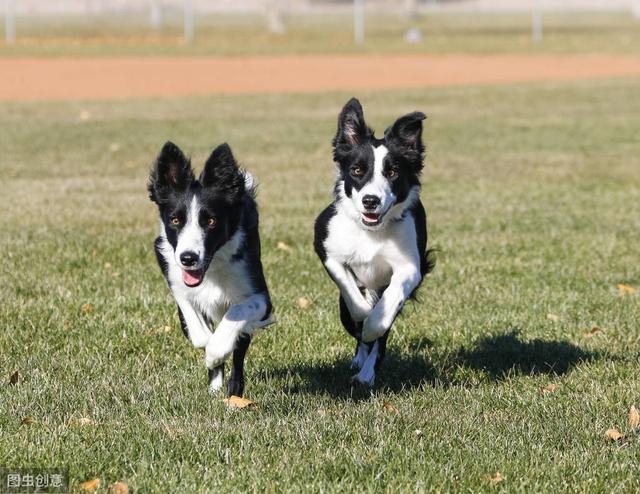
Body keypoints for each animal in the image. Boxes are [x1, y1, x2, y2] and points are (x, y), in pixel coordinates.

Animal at [149, 141, 272, 396]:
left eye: (211, 221)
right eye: (175, 220)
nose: (188, 258)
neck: (212, 268)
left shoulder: (261, 297)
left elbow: (237, 313)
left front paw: (216, 351)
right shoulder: (175, 278)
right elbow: (195, 325)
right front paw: (208, 345)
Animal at [312, 98, 432, 388]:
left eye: (393, 172)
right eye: (357, 170)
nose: (370, 201)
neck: (372, 231)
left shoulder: (411, 267)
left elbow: (386, 311)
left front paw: (372, 325)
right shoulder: (326, 246)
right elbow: (352, 294)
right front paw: (364, 311)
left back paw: (366, 374)